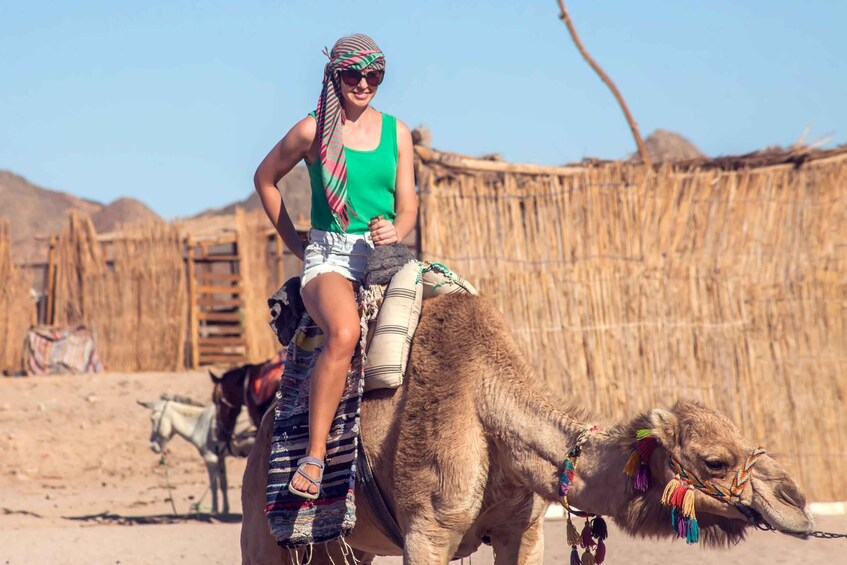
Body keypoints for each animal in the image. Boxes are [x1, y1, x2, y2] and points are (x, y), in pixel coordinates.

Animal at [240, 294, 816, 560]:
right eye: (715, 460)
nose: (797, 502)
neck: (487, 406)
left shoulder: (523, 531)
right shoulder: (427, 532)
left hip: (345, 544)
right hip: (261, 530)